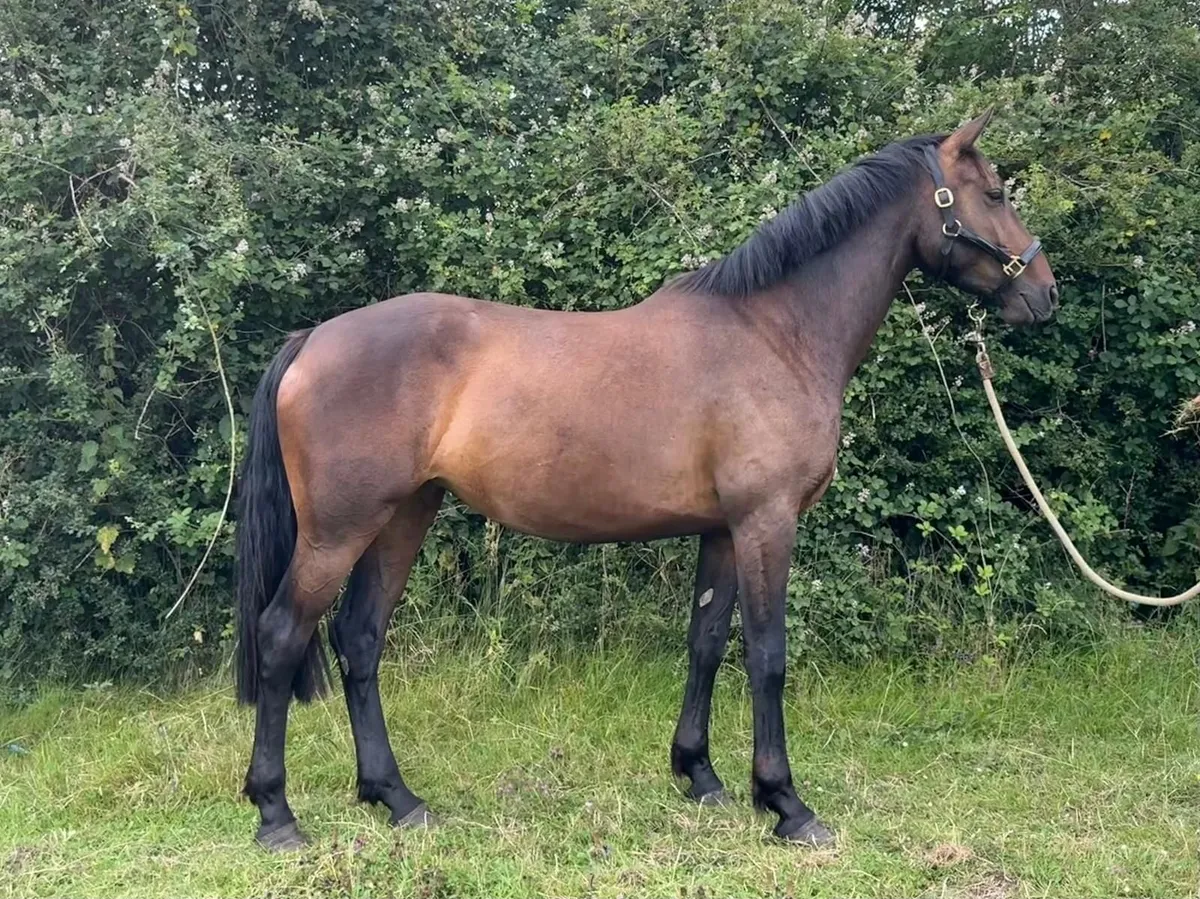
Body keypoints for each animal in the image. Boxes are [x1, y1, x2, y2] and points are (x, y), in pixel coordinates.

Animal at [234, 110, 1057, 850]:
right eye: (993, 192)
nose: (1045, 293)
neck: (776, 331)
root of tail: (314, 339)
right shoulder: (767, 520)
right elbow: (767, 655)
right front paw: (786, 804)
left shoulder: (724, 528)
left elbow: (706, 641)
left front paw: (701, 776)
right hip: (339, 531)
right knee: (282, 636)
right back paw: (277, 815)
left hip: (404, 514)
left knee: (360, 638)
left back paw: (397, 798)